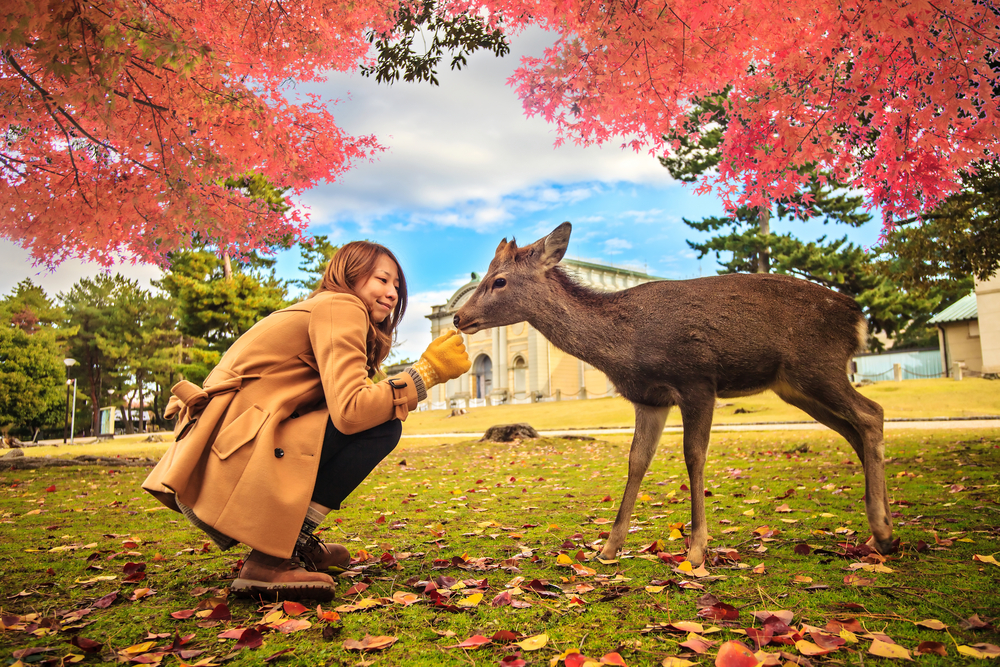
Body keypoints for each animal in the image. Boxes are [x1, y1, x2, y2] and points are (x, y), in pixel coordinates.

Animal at [453, 222, 897, 565]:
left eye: (499, 280)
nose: (457, 316)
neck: (625, 344)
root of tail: (858, 316)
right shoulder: (649, 399)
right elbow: (636, 461)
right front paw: (608, 548)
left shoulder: (697, 380)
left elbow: (693, 456)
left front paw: (697, 549)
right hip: (795, 386)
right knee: (855, 430)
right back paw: (883, 533)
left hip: (819, 366)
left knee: (872, 413)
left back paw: (881, 528)